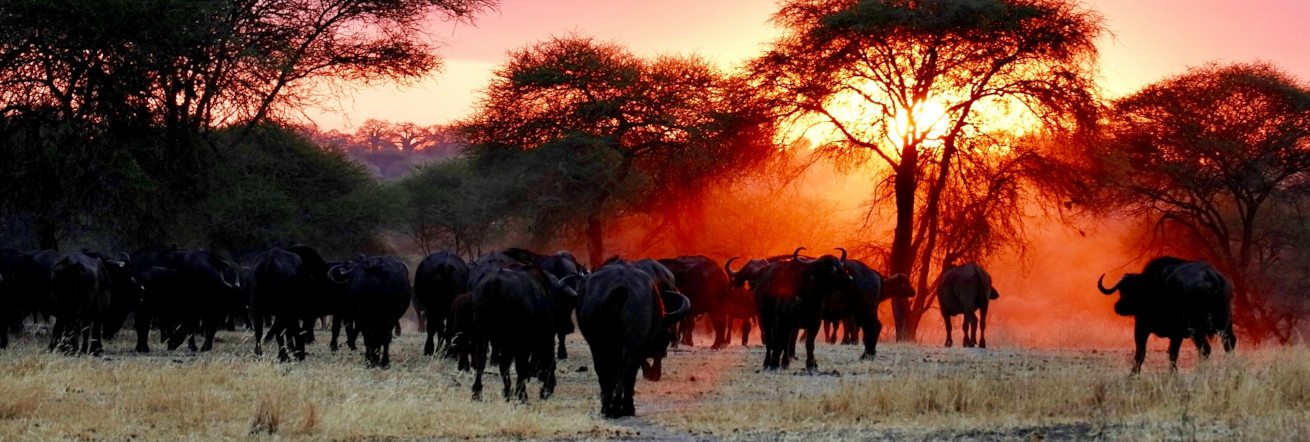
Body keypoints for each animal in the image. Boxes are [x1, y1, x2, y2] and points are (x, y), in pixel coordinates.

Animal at [578, 260, 690, 418]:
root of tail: (621, 287)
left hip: (600, 343)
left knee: (610, 370)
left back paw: (612, 407)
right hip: (627, 344)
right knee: (624, 370)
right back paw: (622, 407)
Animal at [1098, 257, 1236, 373]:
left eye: (1126, 291)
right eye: (1121, 290)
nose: (1118, 307)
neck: (1149, 287)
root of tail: (1211, 275)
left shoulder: (1143, 327)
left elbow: (1141, 353)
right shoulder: (1176, 335)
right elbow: (1172, 354)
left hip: (1197, 329)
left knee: (1205, 349)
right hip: (1224, 324)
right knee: (1228, 344)